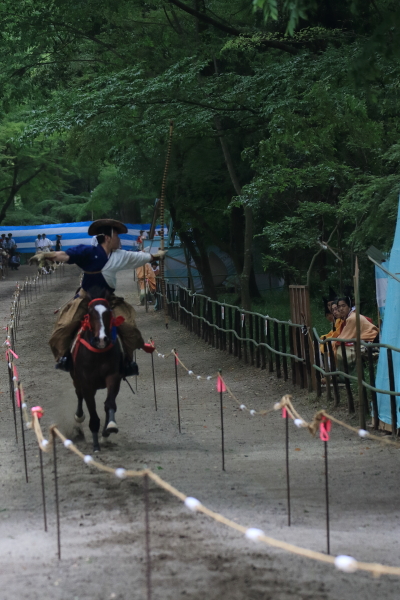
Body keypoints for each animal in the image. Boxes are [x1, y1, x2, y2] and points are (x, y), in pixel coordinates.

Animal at [70, 298, 126, 452]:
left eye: (108, 313)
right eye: (90, 313)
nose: (101, 339)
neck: (98, 354)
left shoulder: (113, 377)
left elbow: (109, 403)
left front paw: (109, 428)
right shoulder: (86, 383)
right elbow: (92, 411)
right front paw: (95, 446)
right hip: (76, 379)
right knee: (78, 394)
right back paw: (78, 417)